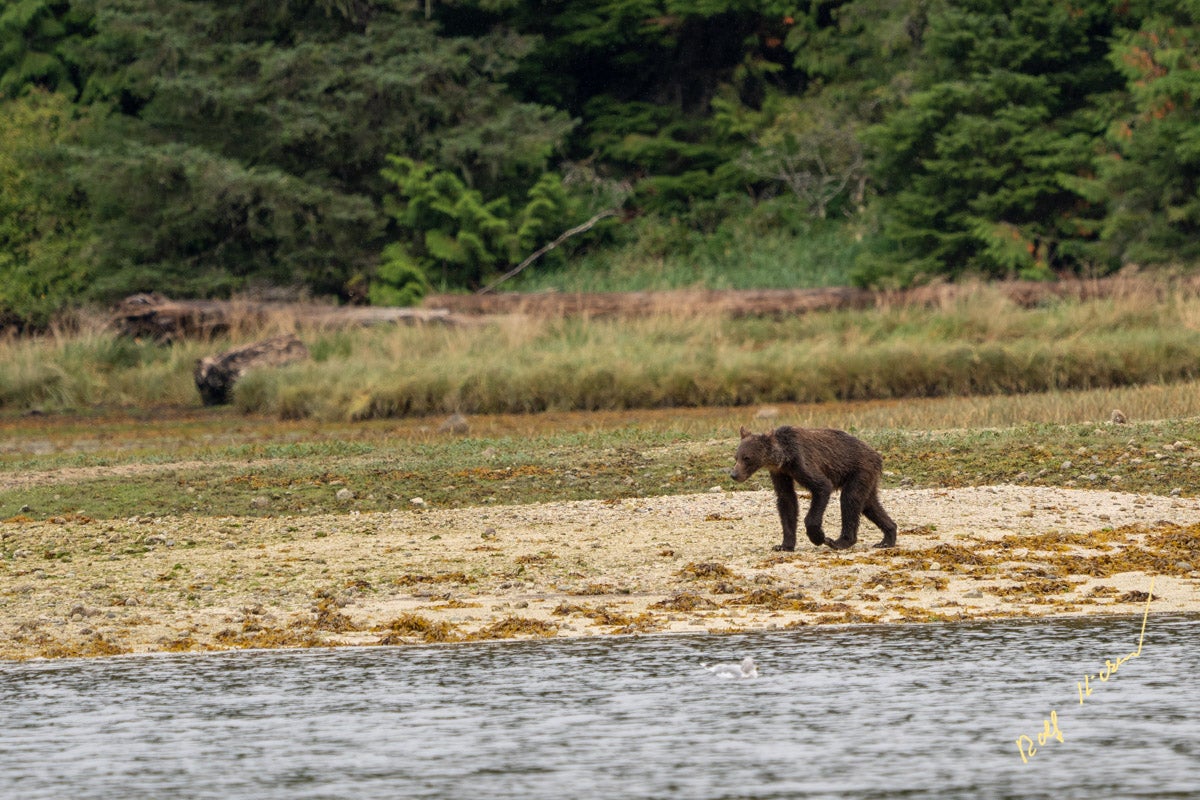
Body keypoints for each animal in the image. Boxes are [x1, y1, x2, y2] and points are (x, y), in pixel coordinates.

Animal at [730, 425, 898, 551]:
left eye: (747, 458)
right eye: (736, 457)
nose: (734, 474)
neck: (784, 458)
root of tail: (877, 455)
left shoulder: (802, 462)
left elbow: (822, 487)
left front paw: (818, 537)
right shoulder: (780, 473)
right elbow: (786, 500)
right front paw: (784, 545)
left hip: (859, 469)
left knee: (850, 499)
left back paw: (839, 542)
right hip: (867, 477)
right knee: (869, 504)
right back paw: (887, 538)